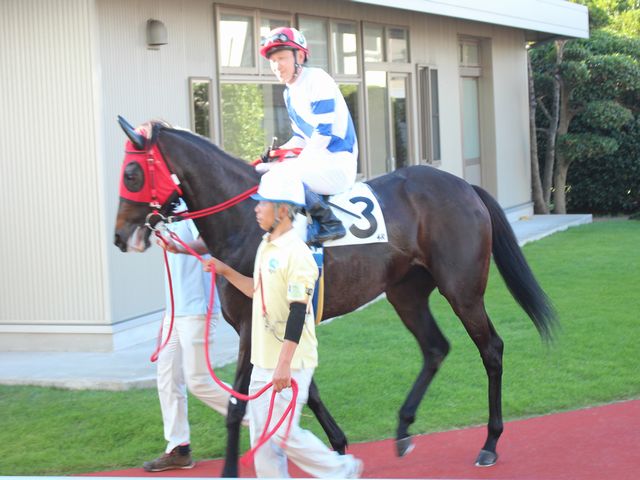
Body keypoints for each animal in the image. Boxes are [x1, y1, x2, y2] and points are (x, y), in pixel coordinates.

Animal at [114, 118, 557, 477]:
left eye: (131, 174)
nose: (119, 237)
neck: (245, 223)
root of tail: (465, 186)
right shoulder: (278, 324)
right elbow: (303, 389)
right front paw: (337, 445)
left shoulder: (252, 326)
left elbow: (240, 404)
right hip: (405, 293)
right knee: (435, 347)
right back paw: (402, 428)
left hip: (462, 290)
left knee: (491, 349)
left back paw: (490, 442)